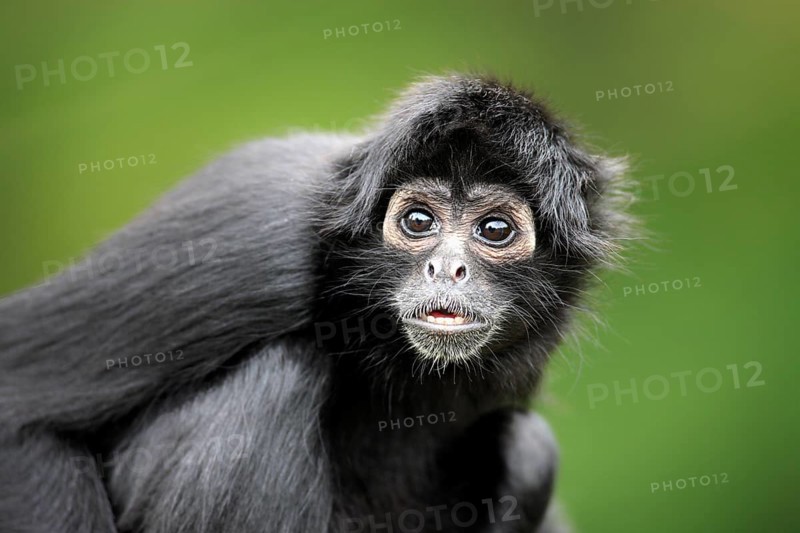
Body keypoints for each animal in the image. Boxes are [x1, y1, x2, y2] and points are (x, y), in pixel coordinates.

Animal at [0, 74, 632, 533]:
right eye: (418, 221)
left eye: (495, 229)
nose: (446, 268)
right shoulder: (262, 240)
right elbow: (22, 413)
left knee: (529, 452)